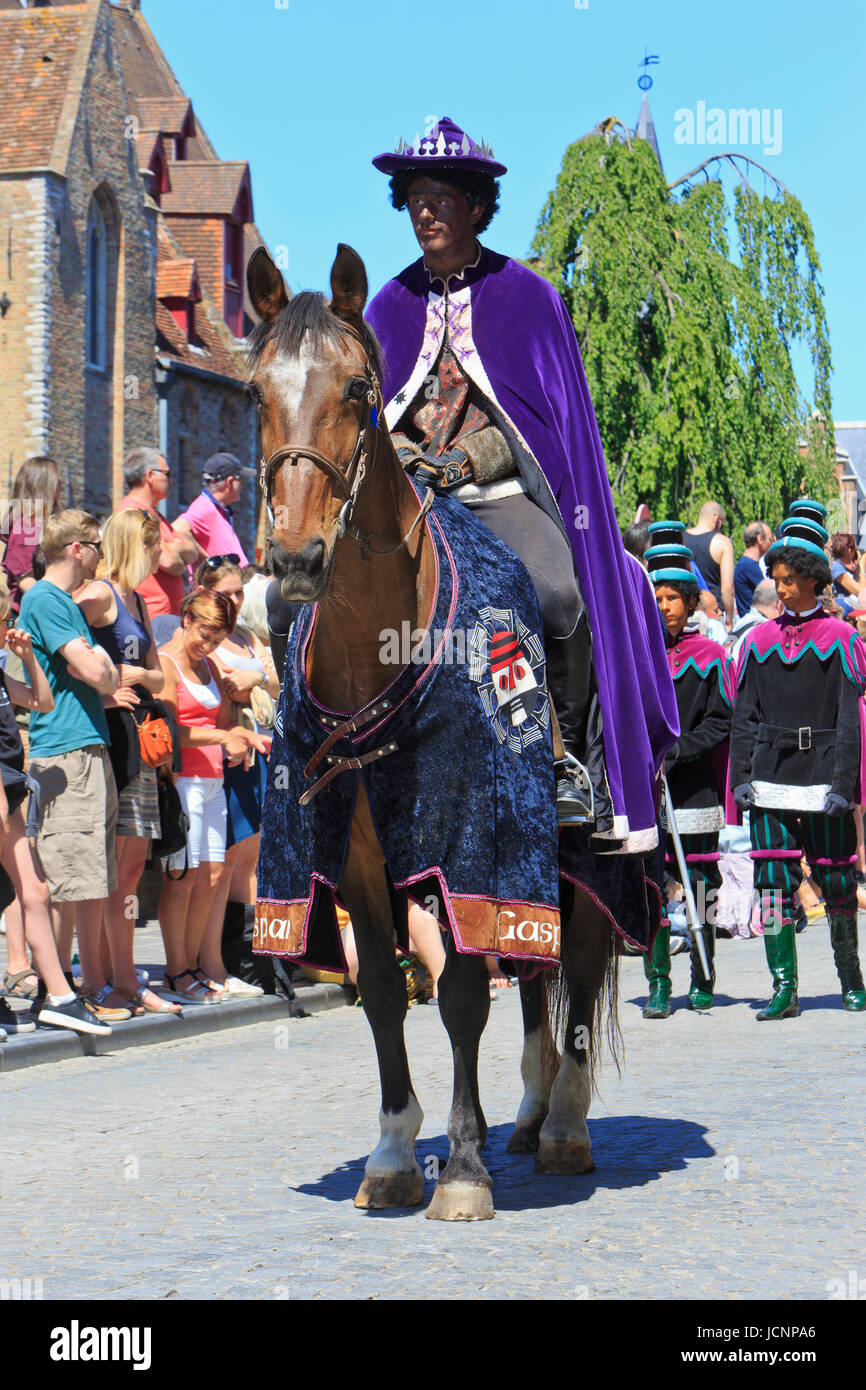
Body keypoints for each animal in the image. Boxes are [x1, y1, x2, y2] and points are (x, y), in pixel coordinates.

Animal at [246, 244, 617, 1223]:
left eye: (356, 387)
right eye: (256, 389)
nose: (295, 558)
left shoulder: (473, 837)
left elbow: (458, 992)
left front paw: (462, 1168)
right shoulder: (358, 849)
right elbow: (384, 989)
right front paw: (392, 1152)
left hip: (587, 843)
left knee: (584, 955)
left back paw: (564, 1124)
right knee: (537, 968)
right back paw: (529, 1111)